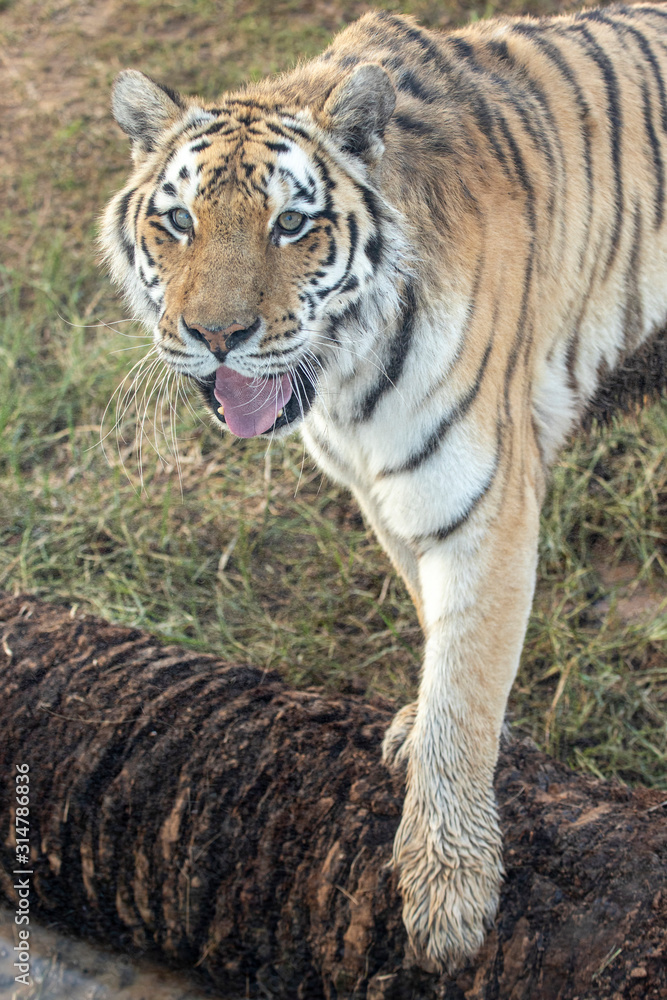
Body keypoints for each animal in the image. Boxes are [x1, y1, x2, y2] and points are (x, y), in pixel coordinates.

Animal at [100, 2, 667, 972]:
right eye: (175, 220)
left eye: (292, 225)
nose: (216, 337)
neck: (345, 381)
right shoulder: (383, 491)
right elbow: (438, 634)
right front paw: (421, 724)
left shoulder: (484, 497)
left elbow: (463, 690)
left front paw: (448, 896)